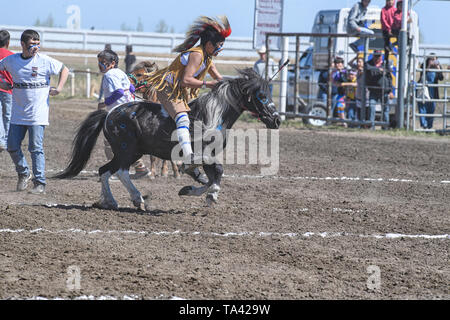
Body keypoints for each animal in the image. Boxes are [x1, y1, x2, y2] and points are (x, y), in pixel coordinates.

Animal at [55, 68, 282, 210]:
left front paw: (189, 190)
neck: (213, 116)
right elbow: (217, 172)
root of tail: (109, 114)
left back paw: (110, 202)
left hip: (131, 152)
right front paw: (210, 195)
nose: (277, 119)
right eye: (261, 96)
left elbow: (211, 177)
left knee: (105, 171)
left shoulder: (208, 157)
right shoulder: (203, 156)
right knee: (119, 171)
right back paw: (138, 199)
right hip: (126, 150)